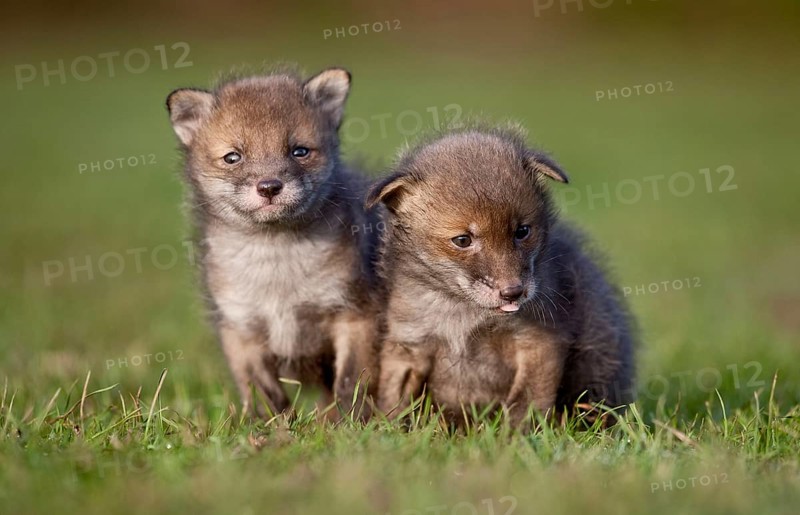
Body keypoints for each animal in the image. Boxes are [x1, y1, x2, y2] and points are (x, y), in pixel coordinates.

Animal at [166, 67, 380, 418]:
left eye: (299, 151)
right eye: (233, 157)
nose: (269, 187)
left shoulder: (355, 313)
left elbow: (351, 382)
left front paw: (351, 423)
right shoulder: (241, 329)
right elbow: (264, 394)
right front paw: (273, 427)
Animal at [366, 125, 635, 427]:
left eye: (522, 231)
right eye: (463, 240)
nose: (513, 292)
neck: (464, 317)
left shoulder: (539, 342)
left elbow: (524, 404)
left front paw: (515, 436)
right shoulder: (408, 345)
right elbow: (392, 402)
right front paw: (386, 431)